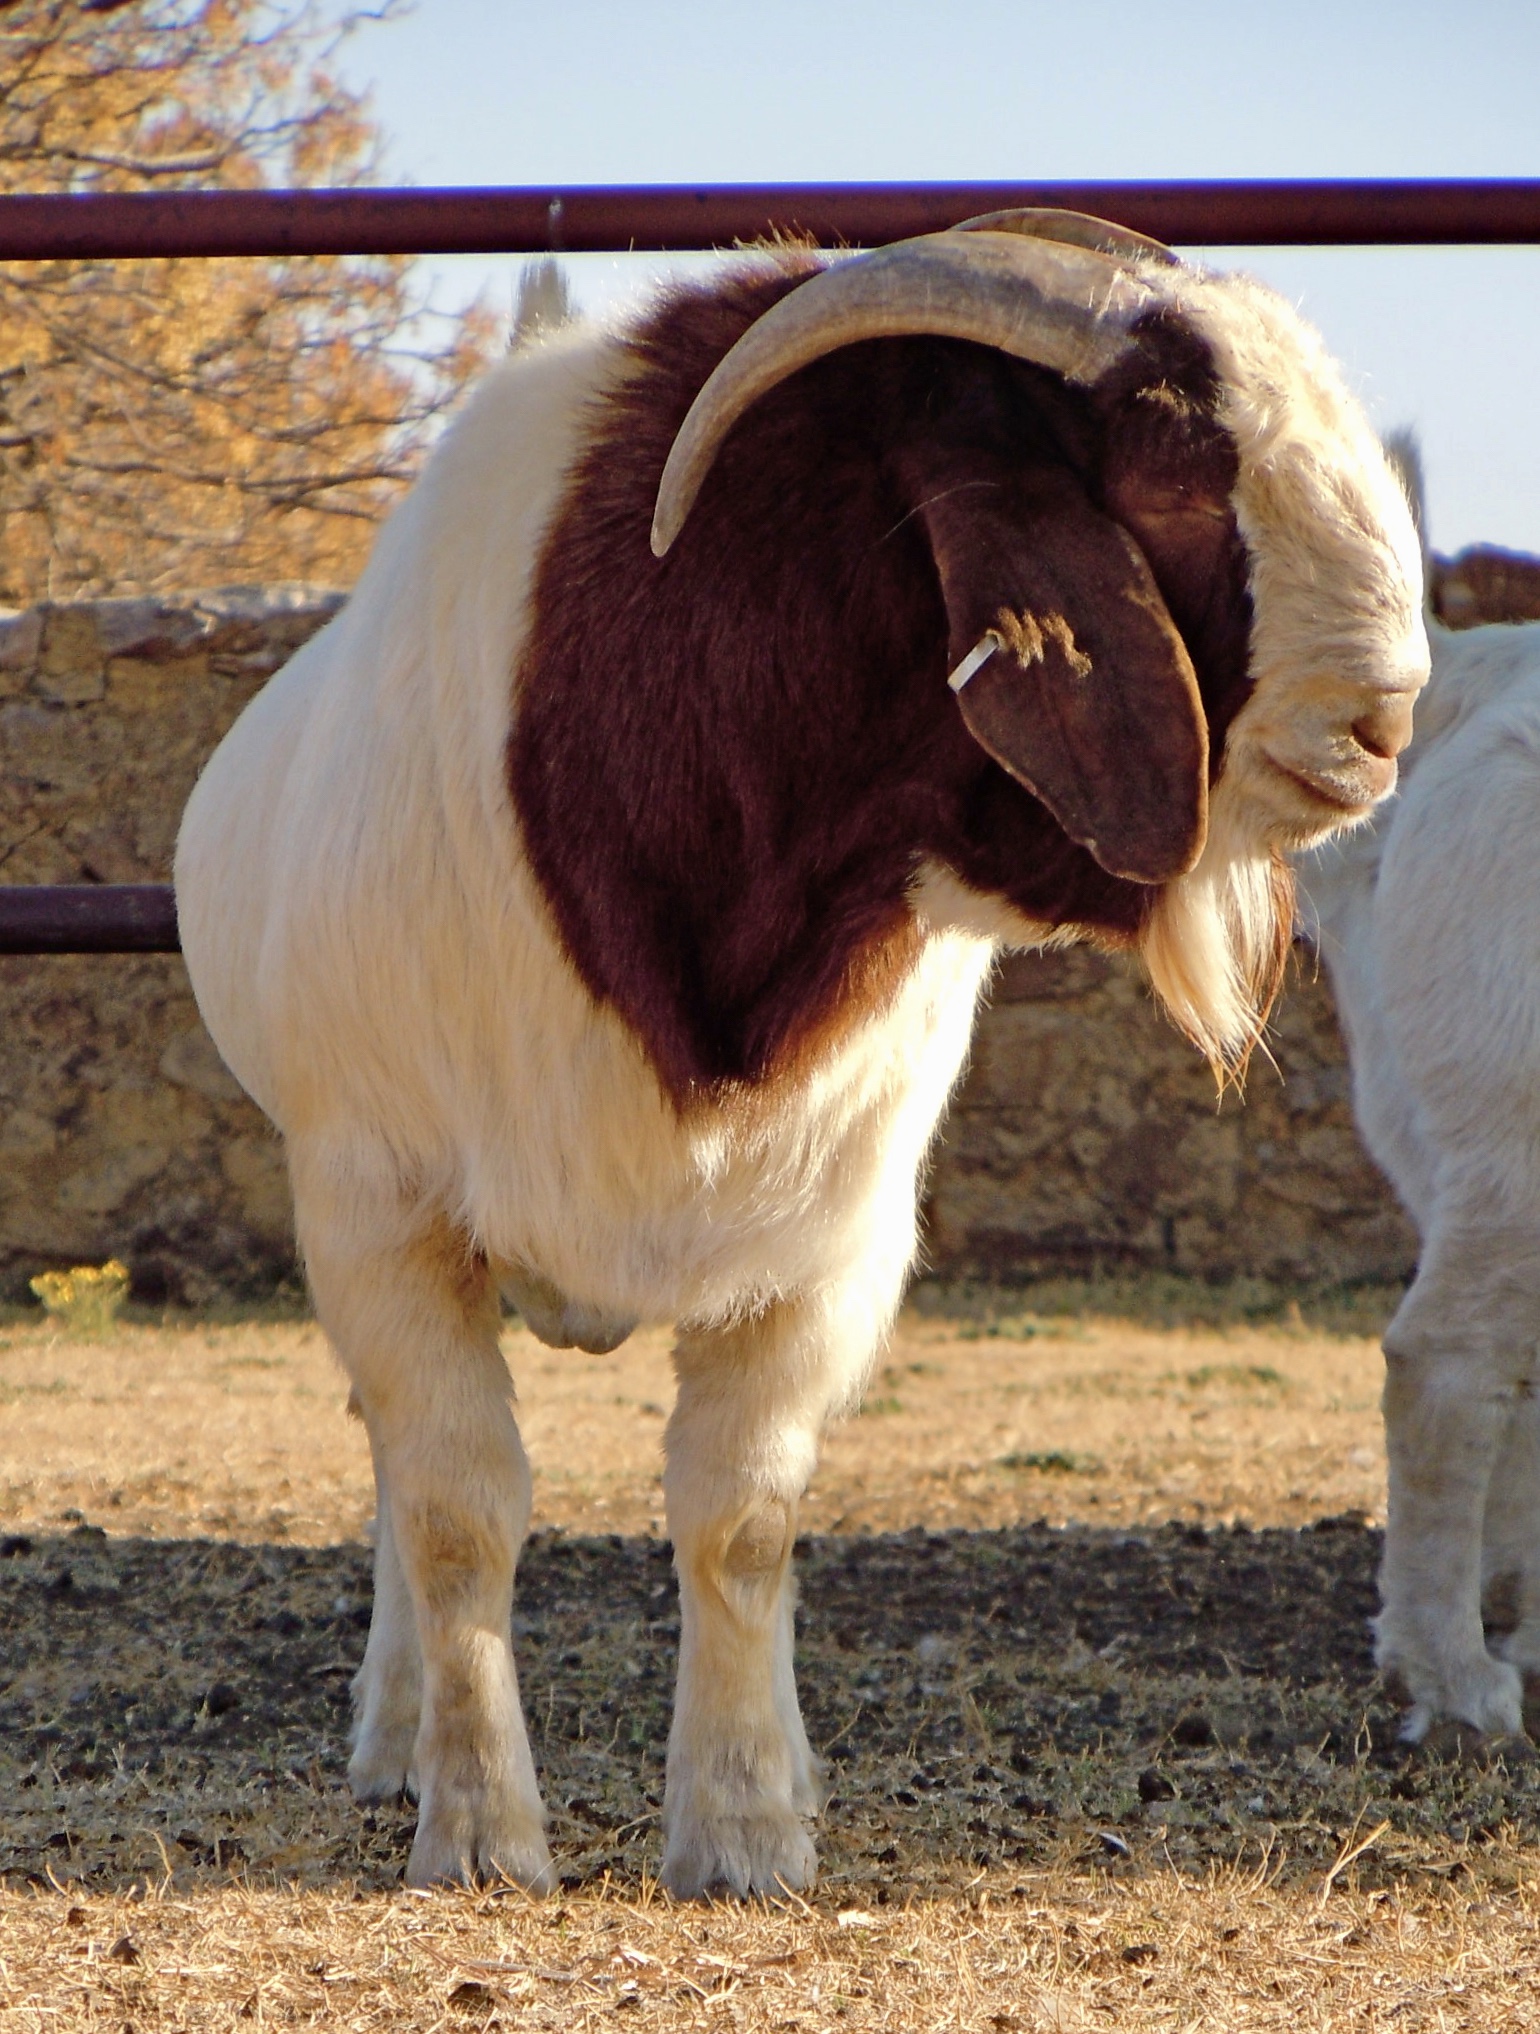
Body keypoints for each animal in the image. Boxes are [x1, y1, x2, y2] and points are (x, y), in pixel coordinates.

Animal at [173, 214, 1424, 1895]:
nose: (1383, 721)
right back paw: (392, 1739)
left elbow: (742, 1516)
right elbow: (457, 1508)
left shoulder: (829, 1230)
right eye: (1168, 473)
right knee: (393, 1457)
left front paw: (747, 1828)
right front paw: (483, 1830)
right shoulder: (379, 1199)